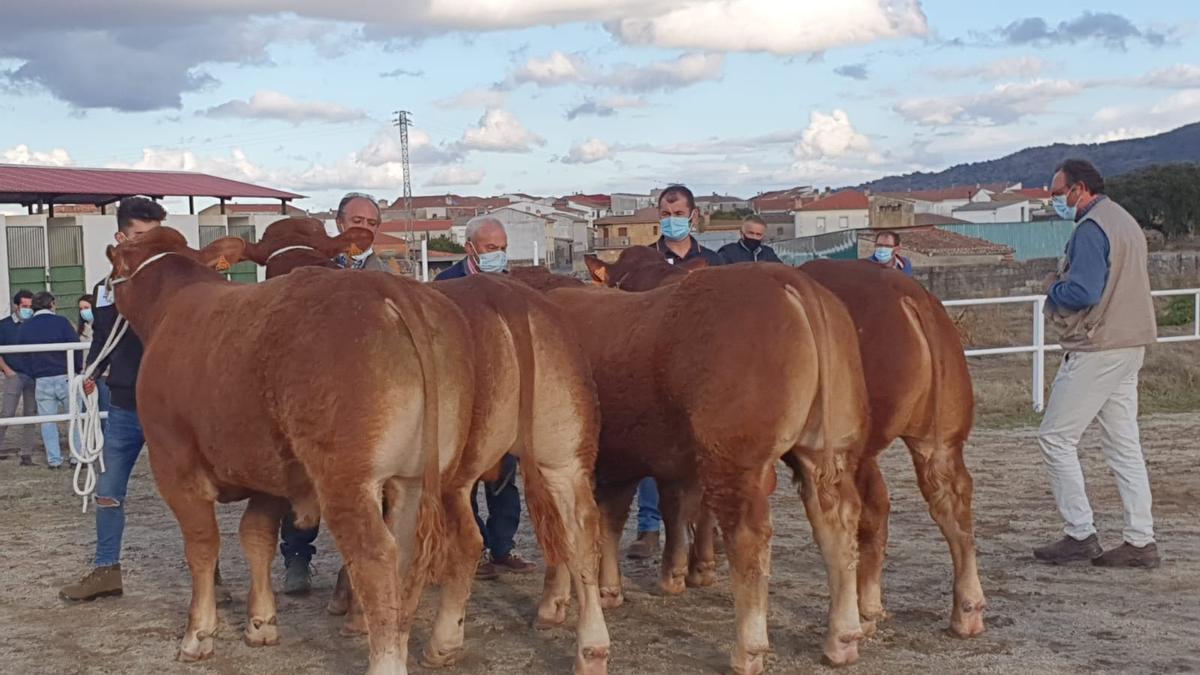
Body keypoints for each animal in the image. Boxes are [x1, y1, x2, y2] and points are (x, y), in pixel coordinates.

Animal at [106, 227, 472, 672]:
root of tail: (387, 287)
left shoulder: (173, 463)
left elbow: (202, 546)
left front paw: (198, 634)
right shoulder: (269, 472)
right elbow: (256, 537)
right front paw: (261, 622)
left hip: (346, 482)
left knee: (376, 555)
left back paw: (386, 659)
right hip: (418, 478)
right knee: (411, 551)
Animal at [240, 218, 614, 667]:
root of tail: (505, 297)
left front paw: (354, 611)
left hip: (457, 466)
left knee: (471, 540)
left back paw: (442, 642)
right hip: (561, 451)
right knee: (575, 527)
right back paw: (574, 630)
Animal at [537, 260, 873, 667]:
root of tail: (788, 278)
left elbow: (560, 533)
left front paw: (552, 603)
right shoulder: (623, 460)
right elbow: (610, 521)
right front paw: (610, 590)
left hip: (734, 458)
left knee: (749, 536)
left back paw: (748, 650)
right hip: (829, 447)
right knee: (838, 520)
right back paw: (842, 638)